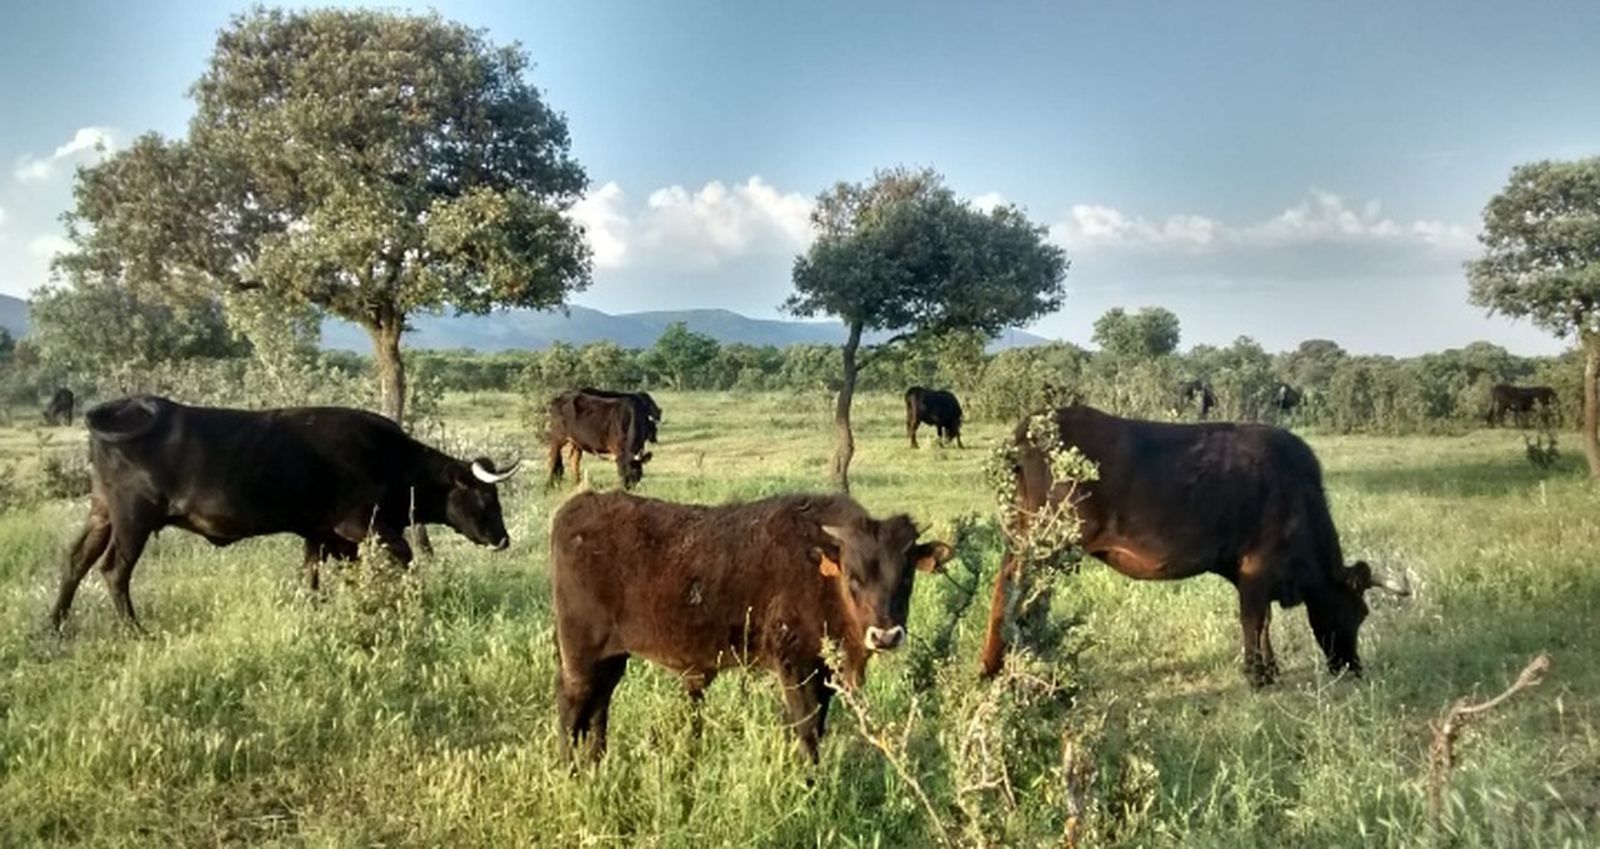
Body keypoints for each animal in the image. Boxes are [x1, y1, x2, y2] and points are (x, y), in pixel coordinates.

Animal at [50, 395, 520, 632]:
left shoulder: (320, 533)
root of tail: (125, 405)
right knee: (113, 570)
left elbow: (310, 578)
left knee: (75, 561)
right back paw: (136, 631)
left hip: (102, 514)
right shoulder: (362, 526)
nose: (503, 540)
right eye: (485, 496)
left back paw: (55, 625)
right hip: (133, 519)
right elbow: (405, 561)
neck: (390, 458)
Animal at [550, 491, 952, 762]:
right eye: (853, 577)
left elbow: (816, 725)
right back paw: (571, 771)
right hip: (581, 656)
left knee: (598, 707)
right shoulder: (795, 668)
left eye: (906, 577)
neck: (817, 568)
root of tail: (577, 507)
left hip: (612, 659)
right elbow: (806, 728)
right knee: (572, 706)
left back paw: (596, 763)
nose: (885, 635)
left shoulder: (823, 674)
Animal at [978, 404, 1408, 686]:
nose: (1354, 668)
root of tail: (1032, 425)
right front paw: (1256, 675)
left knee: (1008, 588)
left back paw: (994, 666)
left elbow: (1264, 621)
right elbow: (1253, 620)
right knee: (1024, 595)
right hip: (1049, 544)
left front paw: (1269, 669)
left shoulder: (1254, 575)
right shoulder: (1257, 568)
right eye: (1359, 613)